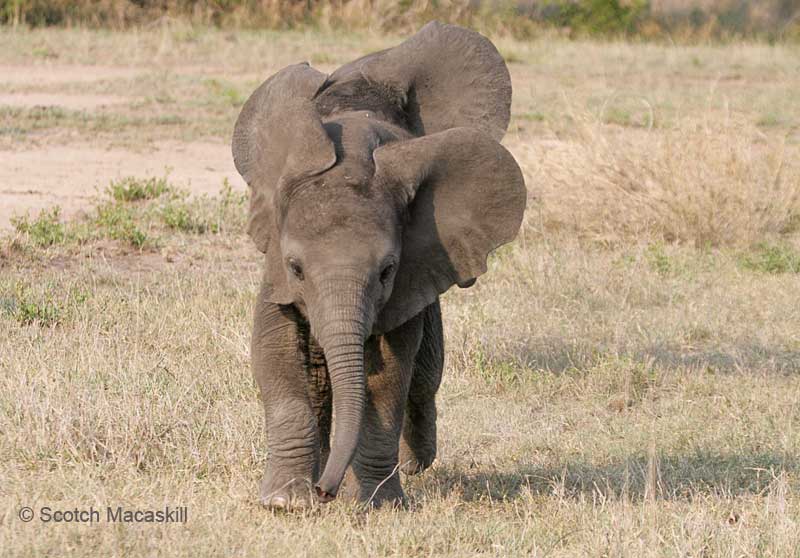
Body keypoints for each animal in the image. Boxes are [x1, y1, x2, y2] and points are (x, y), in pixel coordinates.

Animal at [231, 21, 528, 512]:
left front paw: (374, 503)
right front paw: (287, 502)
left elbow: (390, 375)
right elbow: (275, 354)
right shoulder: (272, 264)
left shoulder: (412, 270)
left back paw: (414, 464)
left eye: (387, 270)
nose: (325, 492)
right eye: (295, 269)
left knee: (424, 376)